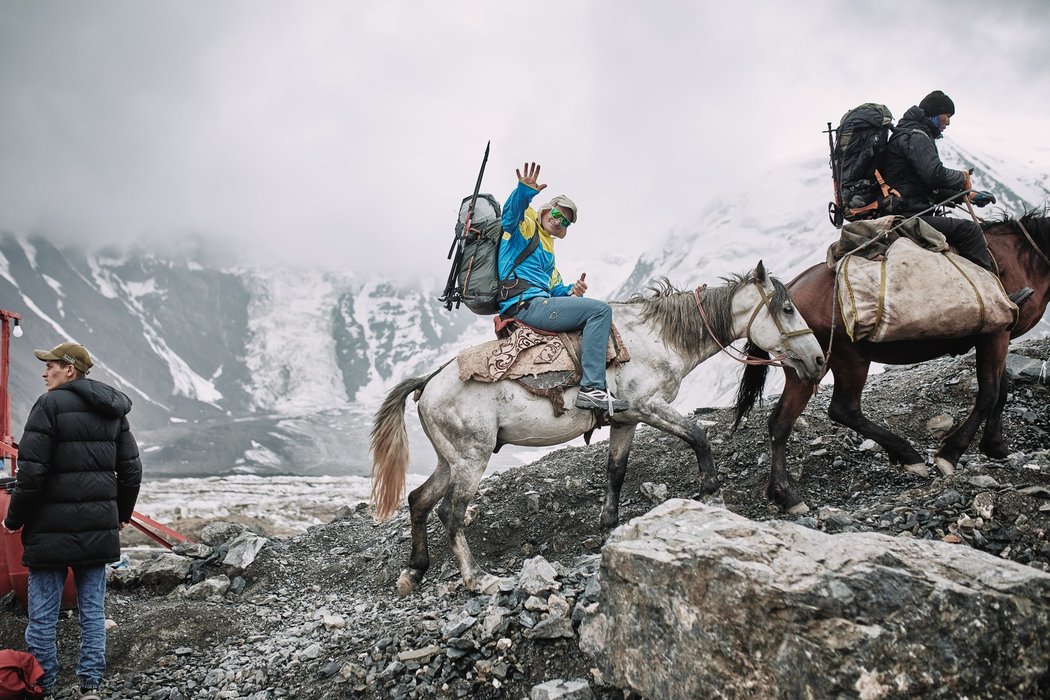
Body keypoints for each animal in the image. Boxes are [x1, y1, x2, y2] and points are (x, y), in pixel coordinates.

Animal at [373, 260, 823, 596]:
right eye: (787, 309)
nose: (818, 360)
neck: (657, 338)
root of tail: (429, 382)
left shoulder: (625, 420)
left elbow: (616, 471)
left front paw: (609, 525)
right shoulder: (647, 406)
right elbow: (698, 435)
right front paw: (712, 496)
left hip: (450, 459)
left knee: (418, 500)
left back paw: (414, 570)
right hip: (471, 458)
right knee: (450, 512)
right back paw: (476, 578)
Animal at [734, 210, 1050, 512]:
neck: (1023, 255)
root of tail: (782, 295)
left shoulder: (1000, 338)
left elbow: (1001, 392)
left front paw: (995, 447)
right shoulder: (996, 334)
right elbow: (989, 394)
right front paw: (950, 454)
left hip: (805, 364)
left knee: (781, 422)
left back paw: (783, 495)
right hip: (850, 358)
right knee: (843, 409)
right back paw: (908, 455)